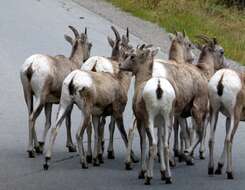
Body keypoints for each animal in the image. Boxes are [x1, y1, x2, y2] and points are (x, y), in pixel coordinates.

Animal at [19, 26, 92, 158]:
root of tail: (31, 66)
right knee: (32, 117)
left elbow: (48, 122)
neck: (72, 63)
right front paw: (71, 146)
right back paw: (31, 150)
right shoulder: (68, 102)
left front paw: (41, 145)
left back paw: (36, 147)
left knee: (30, 115)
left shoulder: (49, 103)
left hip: (27, 94)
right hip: (40, 97)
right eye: (89, 44)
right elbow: (67, 122)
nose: (87, 58)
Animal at [119, 45, 175, 185]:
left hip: (149, 119)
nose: (120, 65)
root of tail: (159, 87)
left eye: (132, 56)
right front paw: (162, 173)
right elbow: (160, 143)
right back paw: (169, 178)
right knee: (165, 145)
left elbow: (144, 143)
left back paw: (148, 177)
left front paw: (142, 172)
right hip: (168, 118)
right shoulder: (160, 124)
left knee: (153, 144)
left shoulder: (141, 121)